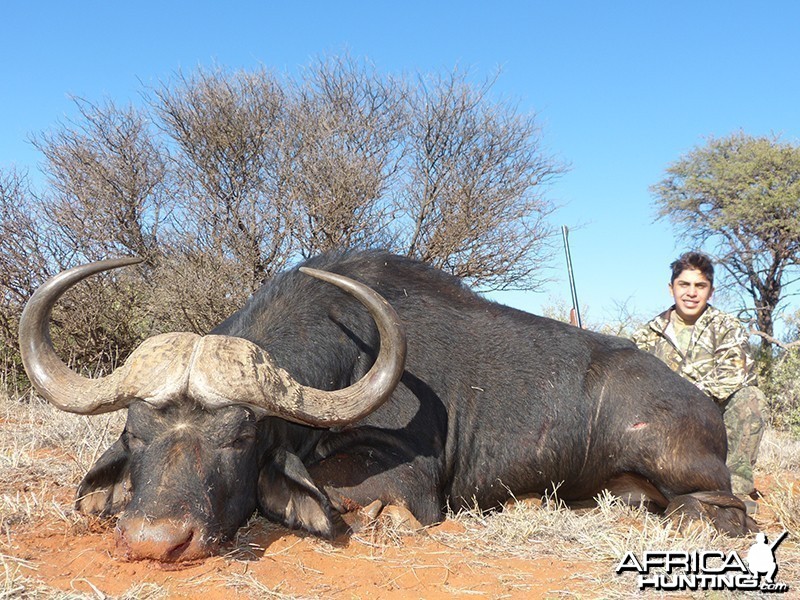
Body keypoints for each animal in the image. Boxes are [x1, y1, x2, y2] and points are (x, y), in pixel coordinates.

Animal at [18, 250, 756, 564]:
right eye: (136, 434)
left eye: (238, 438)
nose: (155, 542)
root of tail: (702, 405)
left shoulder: (410, 483)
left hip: (683, 471)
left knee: (724, 511)